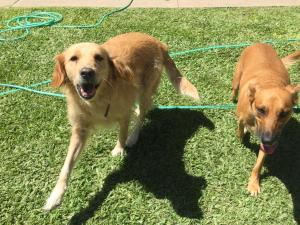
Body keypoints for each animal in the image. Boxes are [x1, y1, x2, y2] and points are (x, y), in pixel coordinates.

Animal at [43, 32, 199, 211]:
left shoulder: (124, 115)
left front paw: (119, 149)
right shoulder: (79, 130)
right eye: (73, 58)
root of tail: (157, 41)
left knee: (142, 114)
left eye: (99, 58)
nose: (87, 72)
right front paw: (55, 196)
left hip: (145, 88)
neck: (98, 99)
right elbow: (66, 165)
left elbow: (122, 134)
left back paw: (134, 136)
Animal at [232, 43, 298, 196]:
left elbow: (259, 164)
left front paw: (253, 183)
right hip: (236, 77)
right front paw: (241, 137)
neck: (270, 83)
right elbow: (240, 129)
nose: (268, 140)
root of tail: (260, 43)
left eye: (284, 113)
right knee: (234, 89)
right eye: (261, 110)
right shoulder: (241, 118)